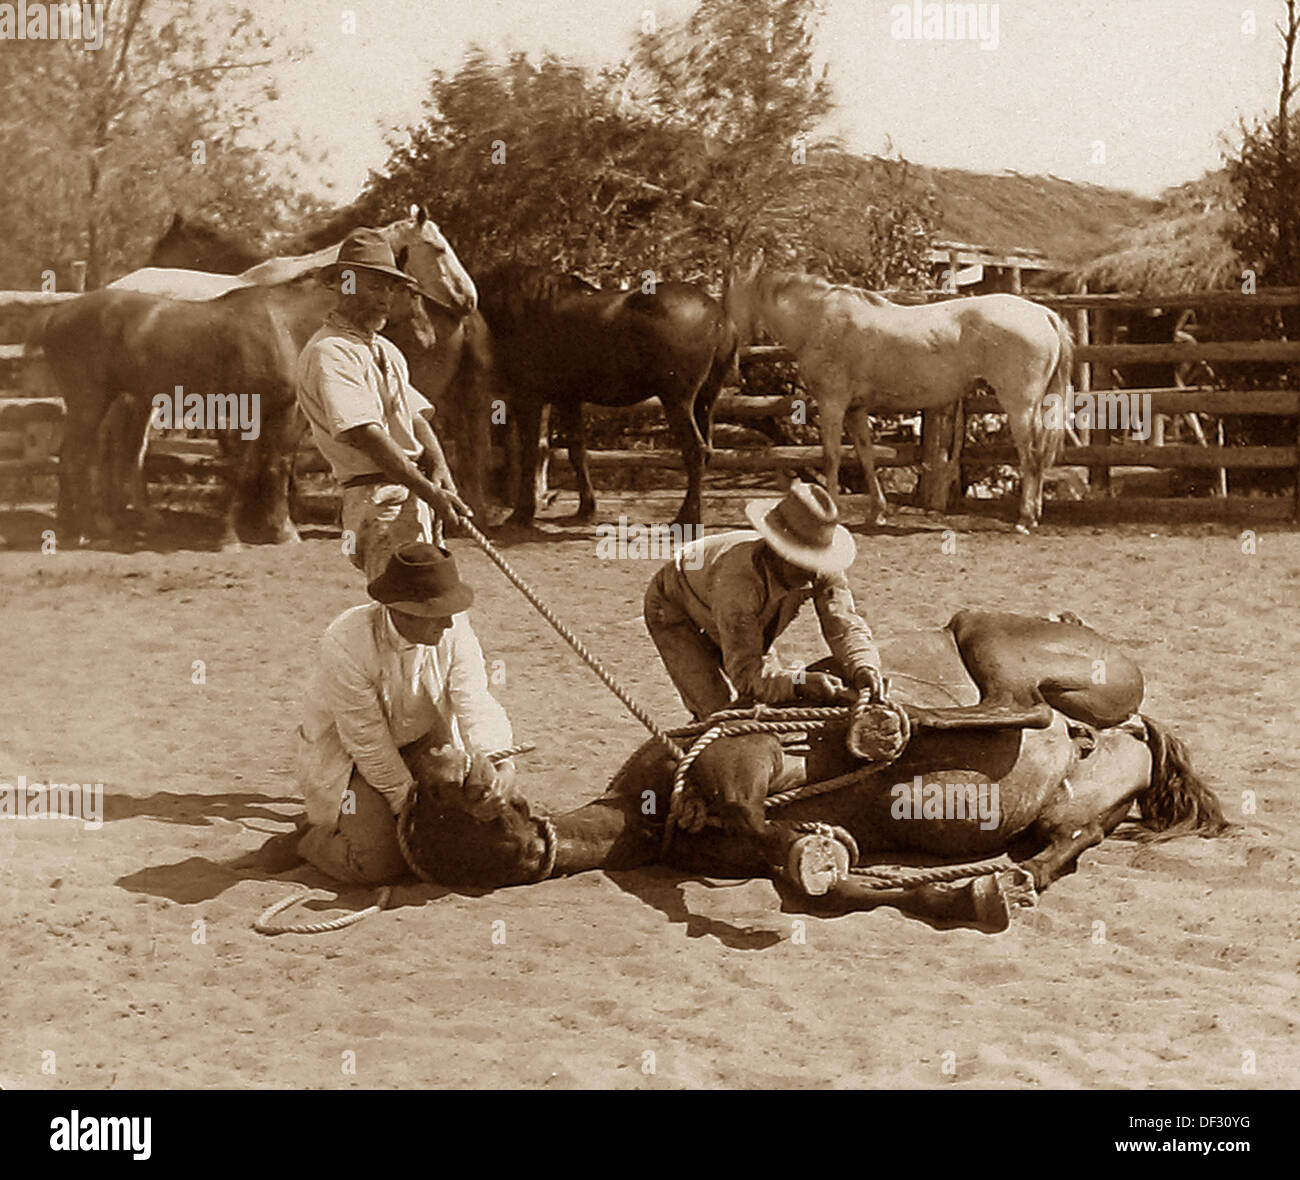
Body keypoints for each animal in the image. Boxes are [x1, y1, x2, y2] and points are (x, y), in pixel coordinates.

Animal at [400, 608, 1222, 930]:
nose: (442, 767)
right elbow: (821, 877)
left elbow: (764, 819)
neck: (655, 805)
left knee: (1012, 706)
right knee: (1059, 845)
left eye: (457, 804)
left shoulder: (740, 758)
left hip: (986, 633)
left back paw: (885, 722)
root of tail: (1129, 717)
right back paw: (1000, 879)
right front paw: (950, 890)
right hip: (1080, 806)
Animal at [478, 267, 743, 530]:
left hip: (677, 402)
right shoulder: (568, 399)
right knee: (706, 451)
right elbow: (577, 452)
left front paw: (522, 513)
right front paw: (586, 509)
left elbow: (530, 454)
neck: (526, 308)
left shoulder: (529, 398)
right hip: (704, 401)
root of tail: (719, 316)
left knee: (695, 451)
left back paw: (687, 517)